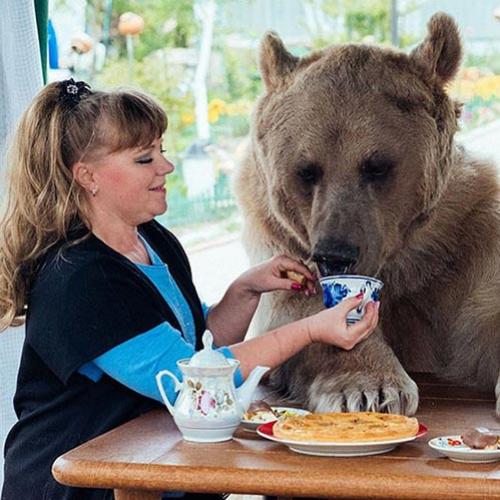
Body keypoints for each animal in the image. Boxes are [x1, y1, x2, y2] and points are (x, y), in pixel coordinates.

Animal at [235, 13, 500, 416]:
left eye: (376, 166)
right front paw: (367, 386)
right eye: (306, 171)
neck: (403, 260)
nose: (335, 255)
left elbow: (484, 318)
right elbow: (300, 311)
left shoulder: (468, 238)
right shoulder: (279, 239)